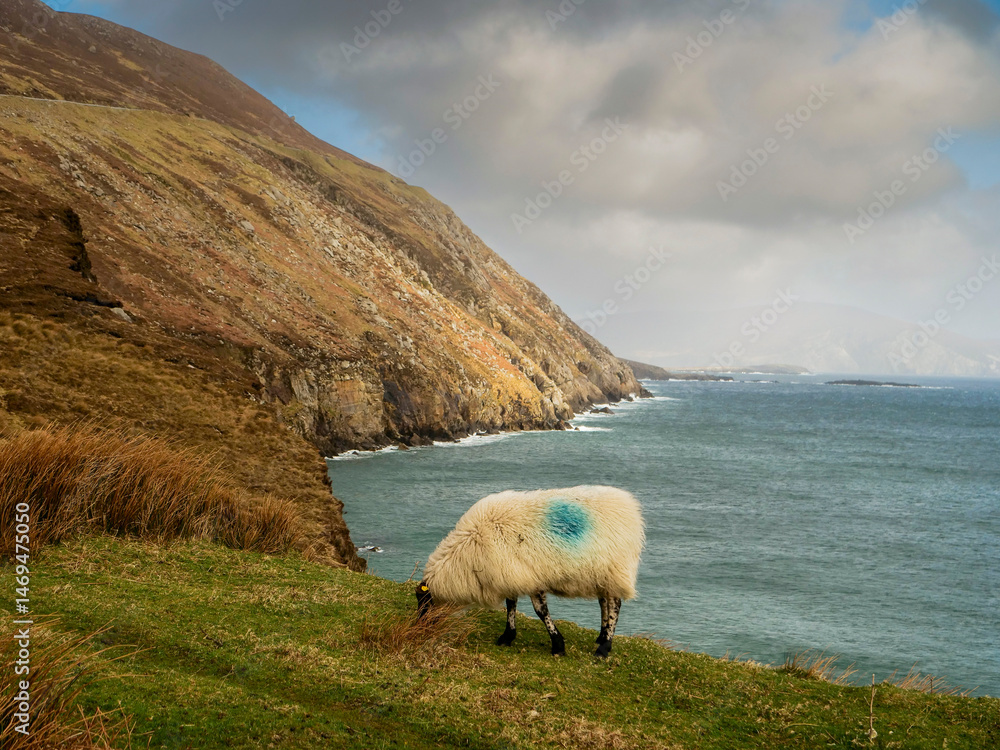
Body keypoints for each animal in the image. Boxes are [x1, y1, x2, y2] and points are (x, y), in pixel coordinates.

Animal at [415, 485, 644, 658]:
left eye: (424, 602)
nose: (419, 628)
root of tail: (629, 507)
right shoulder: (511, 574)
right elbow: (511, 604)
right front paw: (508, 636)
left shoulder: (530, 577)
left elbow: (540, 612)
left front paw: (557, 645)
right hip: (601, 574)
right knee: (604, 602)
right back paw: (601, 635)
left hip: (615, 568)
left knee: (615, 605)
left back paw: (604, 648)